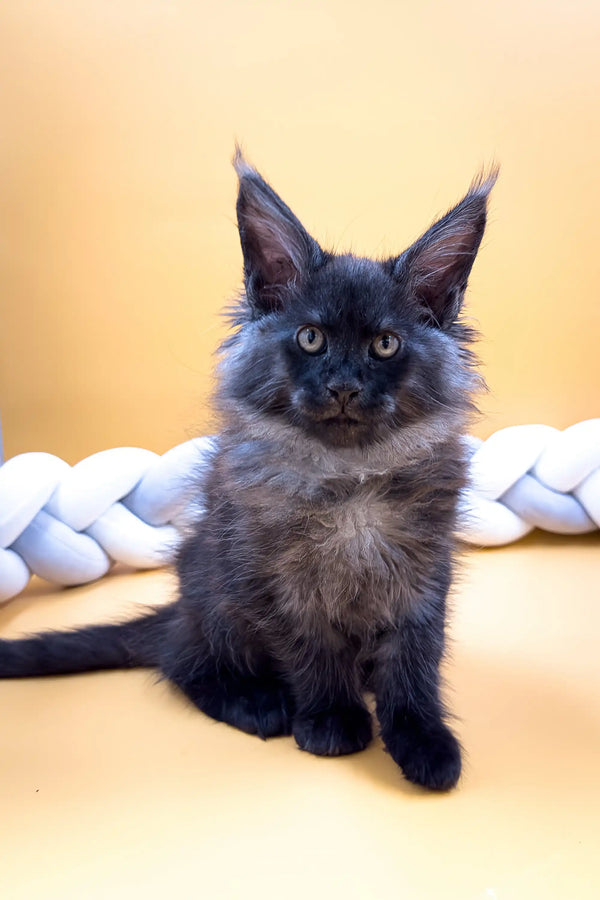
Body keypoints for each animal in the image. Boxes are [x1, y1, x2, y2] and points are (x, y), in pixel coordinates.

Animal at [0, 153, 496, 788]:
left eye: (385, 344)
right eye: (310, 338)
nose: (343, 386)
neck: (348, 476)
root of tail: (181, 611)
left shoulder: (422, 575)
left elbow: (413, 666)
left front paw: (424, 742)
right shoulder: (271, 579)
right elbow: (314, 653)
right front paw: (332, 720)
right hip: (215, 600)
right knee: (183, 664)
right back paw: (258, 703)